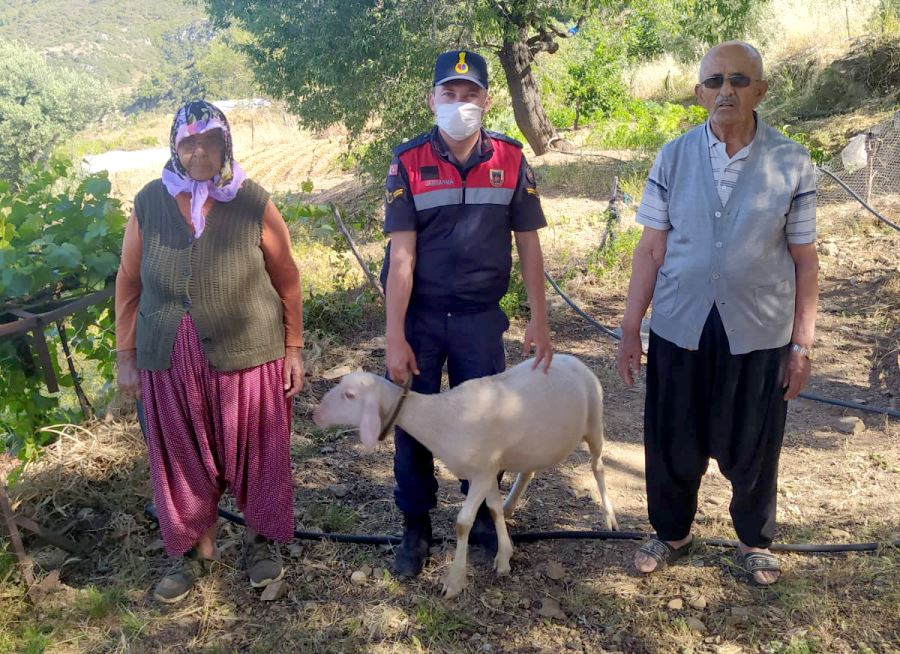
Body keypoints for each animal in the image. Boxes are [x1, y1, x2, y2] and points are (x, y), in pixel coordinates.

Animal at [312, 354, 616, 600]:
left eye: (350, 395)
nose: (316, 415)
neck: (439, 418)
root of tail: (572, 359)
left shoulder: (481, 474)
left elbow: (463, 523)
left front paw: (454, 581)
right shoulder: (487, 470)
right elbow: (492, 510)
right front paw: (504, 555)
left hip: (595, 424)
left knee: (598, 467)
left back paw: (609, 518)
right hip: (534, 446)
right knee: (528, 471)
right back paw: (512, 505)